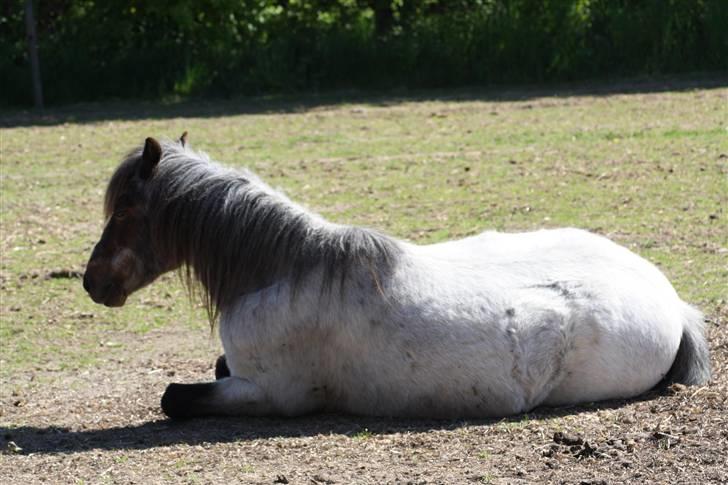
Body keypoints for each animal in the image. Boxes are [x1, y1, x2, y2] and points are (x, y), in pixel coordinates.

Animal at [84, 136, 712, 420]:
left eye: (126, 210)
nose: (92, 282)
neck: (283, 271)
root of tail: (671, 302)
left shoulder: (267, 394)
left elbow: (173, 397)